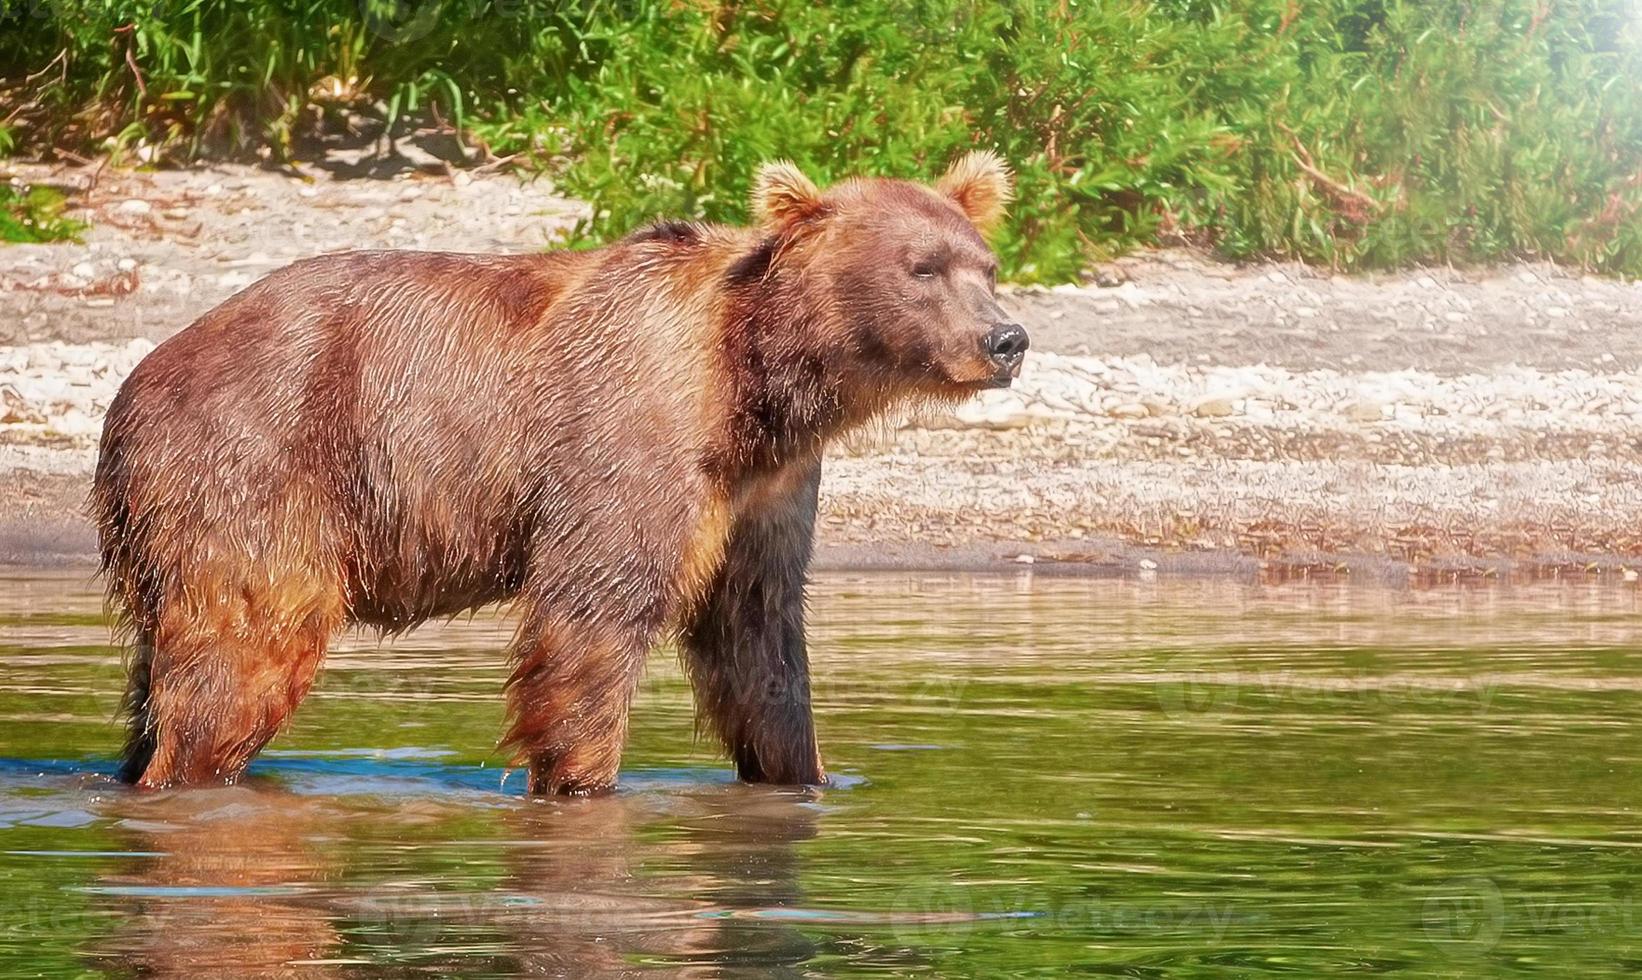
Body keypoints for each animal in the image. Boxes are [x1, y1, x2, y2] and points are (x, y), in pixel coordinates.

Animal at [89, 152, 1024, 794]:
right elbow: (594, 614)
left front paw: (806, 774)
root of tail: (135, 385)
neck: (755, 381)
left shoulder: (767, 489)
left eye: (985, 265)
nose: (1006, 338)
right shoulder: (629, 430)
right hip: (256, 465)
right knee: (242, 651)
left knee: (158, 676)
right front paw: (582, 778)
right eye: (922, 268)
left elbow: (758, 638)